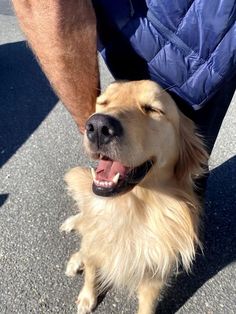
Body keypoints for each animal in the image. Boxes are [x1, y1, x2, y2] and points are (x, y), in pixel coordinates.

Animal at [60, 81, 208, 314]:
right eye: (103, 102)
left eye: (152, 109)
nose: (98, 126)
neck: (130, 208)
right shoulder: (96, 242)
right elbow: (92, 271)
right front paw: (87, 297)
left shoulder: (155, 271)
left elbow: (147, 305)